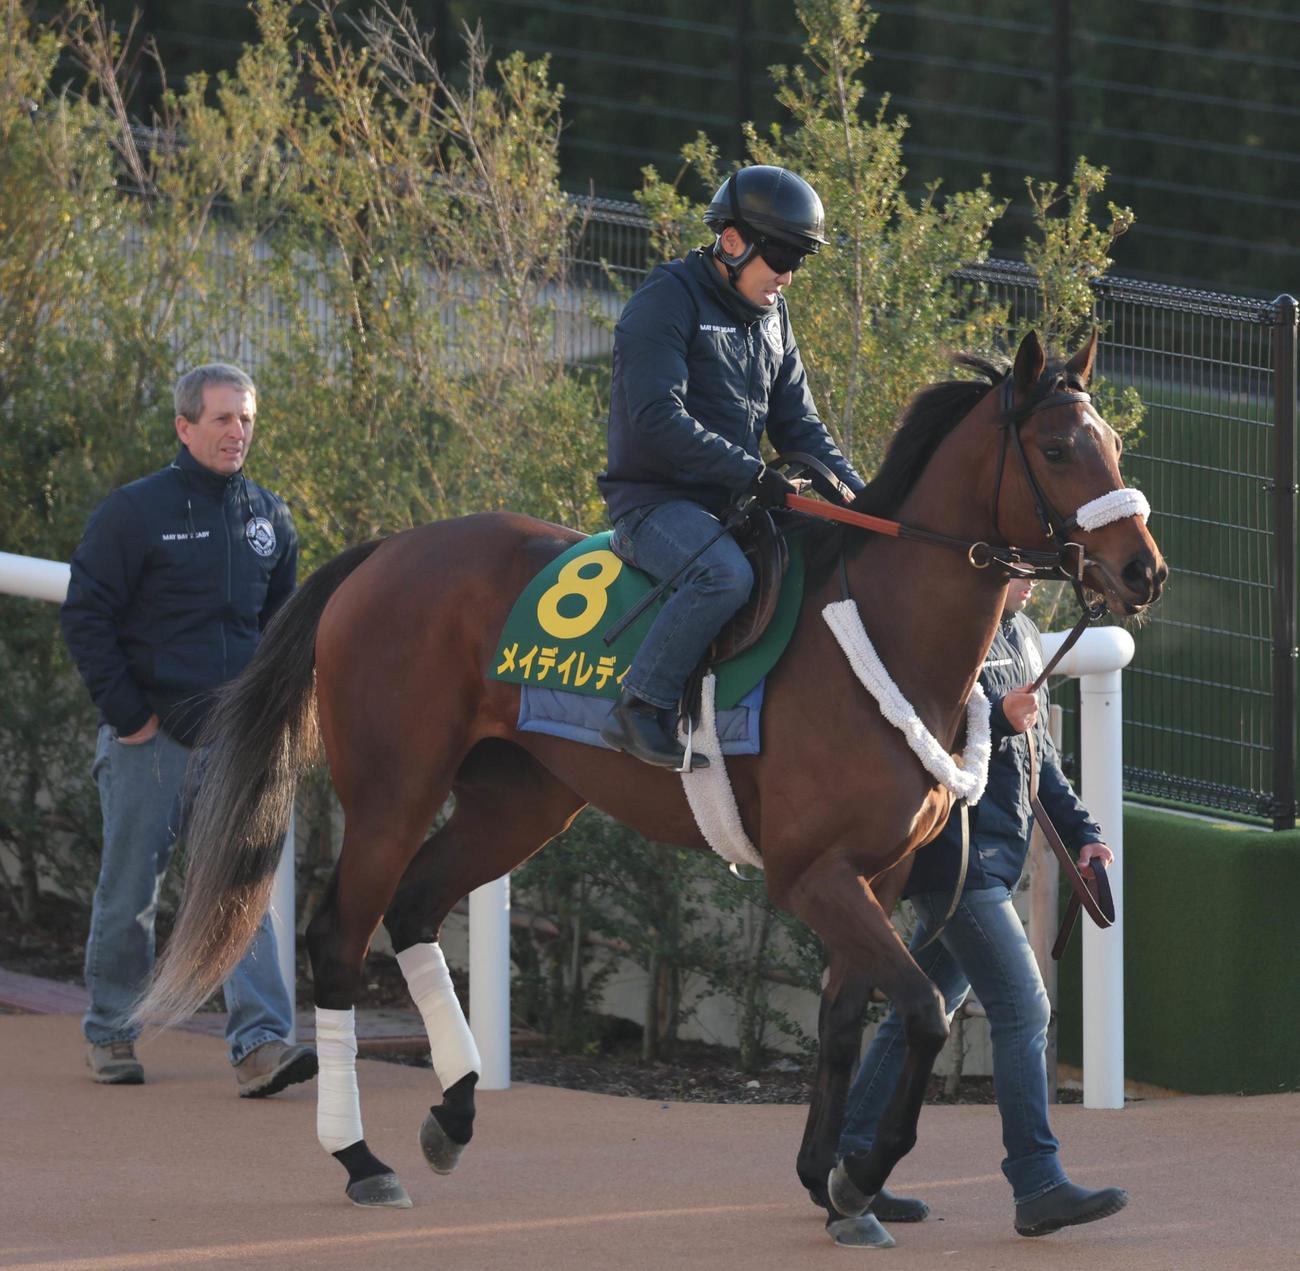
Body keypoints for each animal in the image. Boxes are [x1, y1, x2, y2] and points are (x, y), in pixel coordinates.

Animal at [136, 330, 1164, 1229]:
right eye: (1059, 447)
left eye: (1112, 442)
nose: (1142, 570)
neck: (879, 632)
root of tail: (384, 550)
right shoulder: (813, 874)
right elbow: (915, 1012)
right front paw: (860, 1174)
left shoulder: (874, 875)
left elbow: (844, 1024)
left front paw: (827, 1179)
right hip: (393, 790)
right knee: (339, 940)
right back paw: (360, 1157)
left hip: (520, 800)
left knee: (419, 906)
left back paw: (455, 1110)